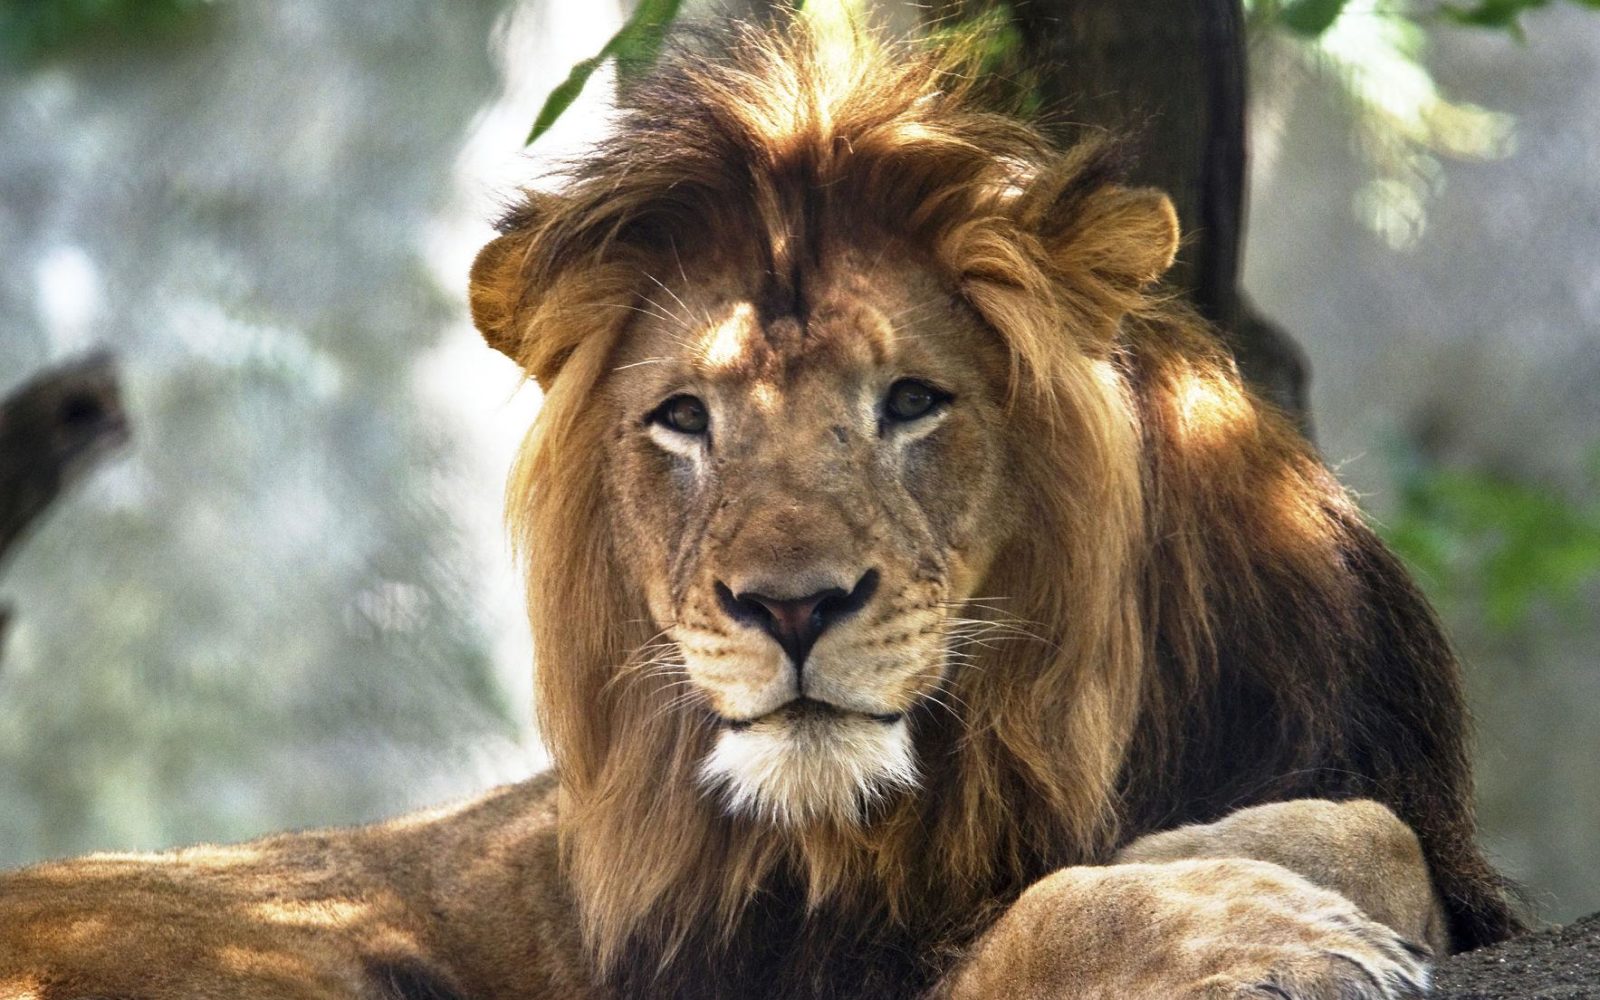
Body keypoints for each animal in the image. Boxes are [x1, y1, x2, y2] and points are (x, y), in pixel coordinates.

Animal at [0, 21, 1521, 1000]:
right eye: (683, 417)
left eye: (912, 401)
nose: (789, 608)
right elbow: (1037, 924)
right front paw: (1248, 933)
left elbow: (1367, 829)